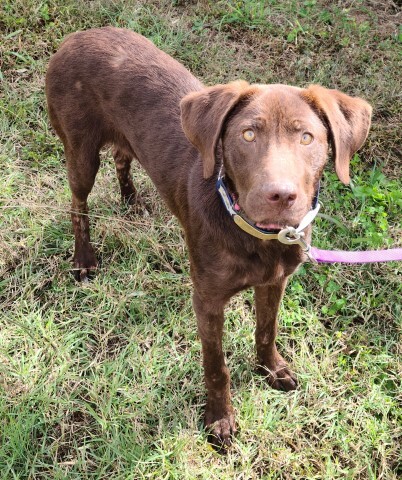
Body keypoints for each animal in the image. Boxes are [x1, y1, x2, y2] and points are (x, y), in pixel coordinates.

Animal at [45, 27, 372, 446]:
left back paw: (131, 200)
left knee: (122, 155)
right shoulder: (208, 300)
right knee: (78, 203)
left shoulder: (275, 281)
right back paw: (84, 258)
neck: (256, 236)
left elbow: (267, 330)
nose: (280, 196)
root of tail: (79, 35)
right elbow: (216, 365)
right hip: (80, 150)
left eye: (307, 138)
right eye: (247, 135)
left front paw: (271, 369)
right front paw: (219, 419)